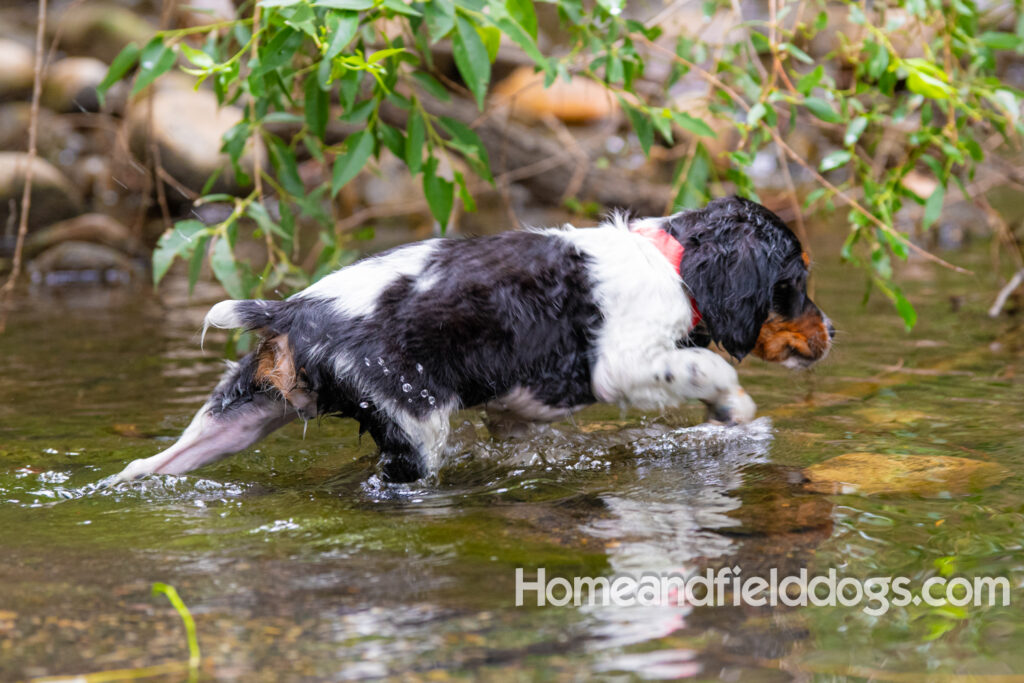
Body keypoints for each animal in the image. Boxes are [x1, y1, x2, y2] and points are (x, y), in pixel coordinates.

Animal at [112, 196, 831, 485]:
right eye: (796, 282)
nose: (831, 332)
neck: (672, 260)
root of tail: (293, 310)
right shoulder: (623, 364)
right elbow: (711, 368)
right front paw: (735, 412)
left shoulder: (519, 405)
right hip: (412, 424)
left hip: (243, 409)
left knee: (153, 464)